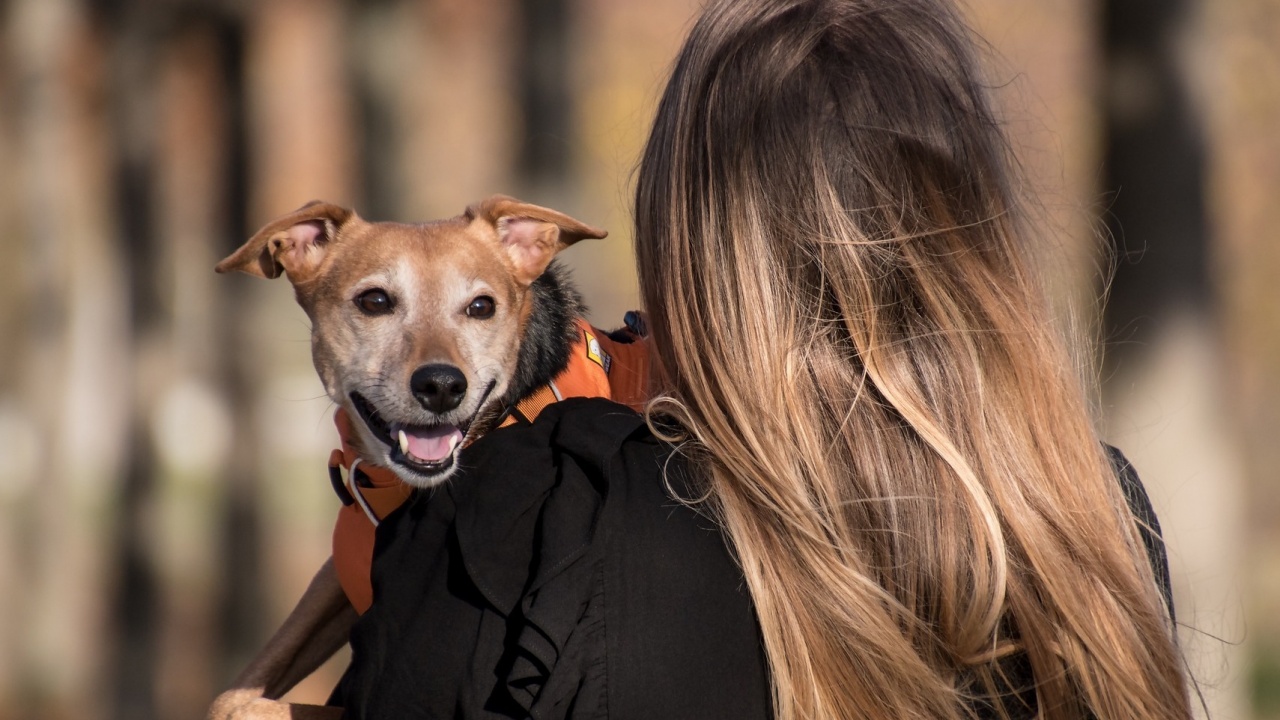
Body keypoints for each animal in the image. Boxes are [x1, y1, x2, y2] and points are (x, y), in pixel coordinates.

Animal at [204, 196, 619, 717]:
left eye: (482, 306)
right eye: (375, 301)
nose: (441, 385)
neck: (394, 487)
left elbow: (247, 707)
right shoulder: (336, 578)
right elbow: (235, 694)